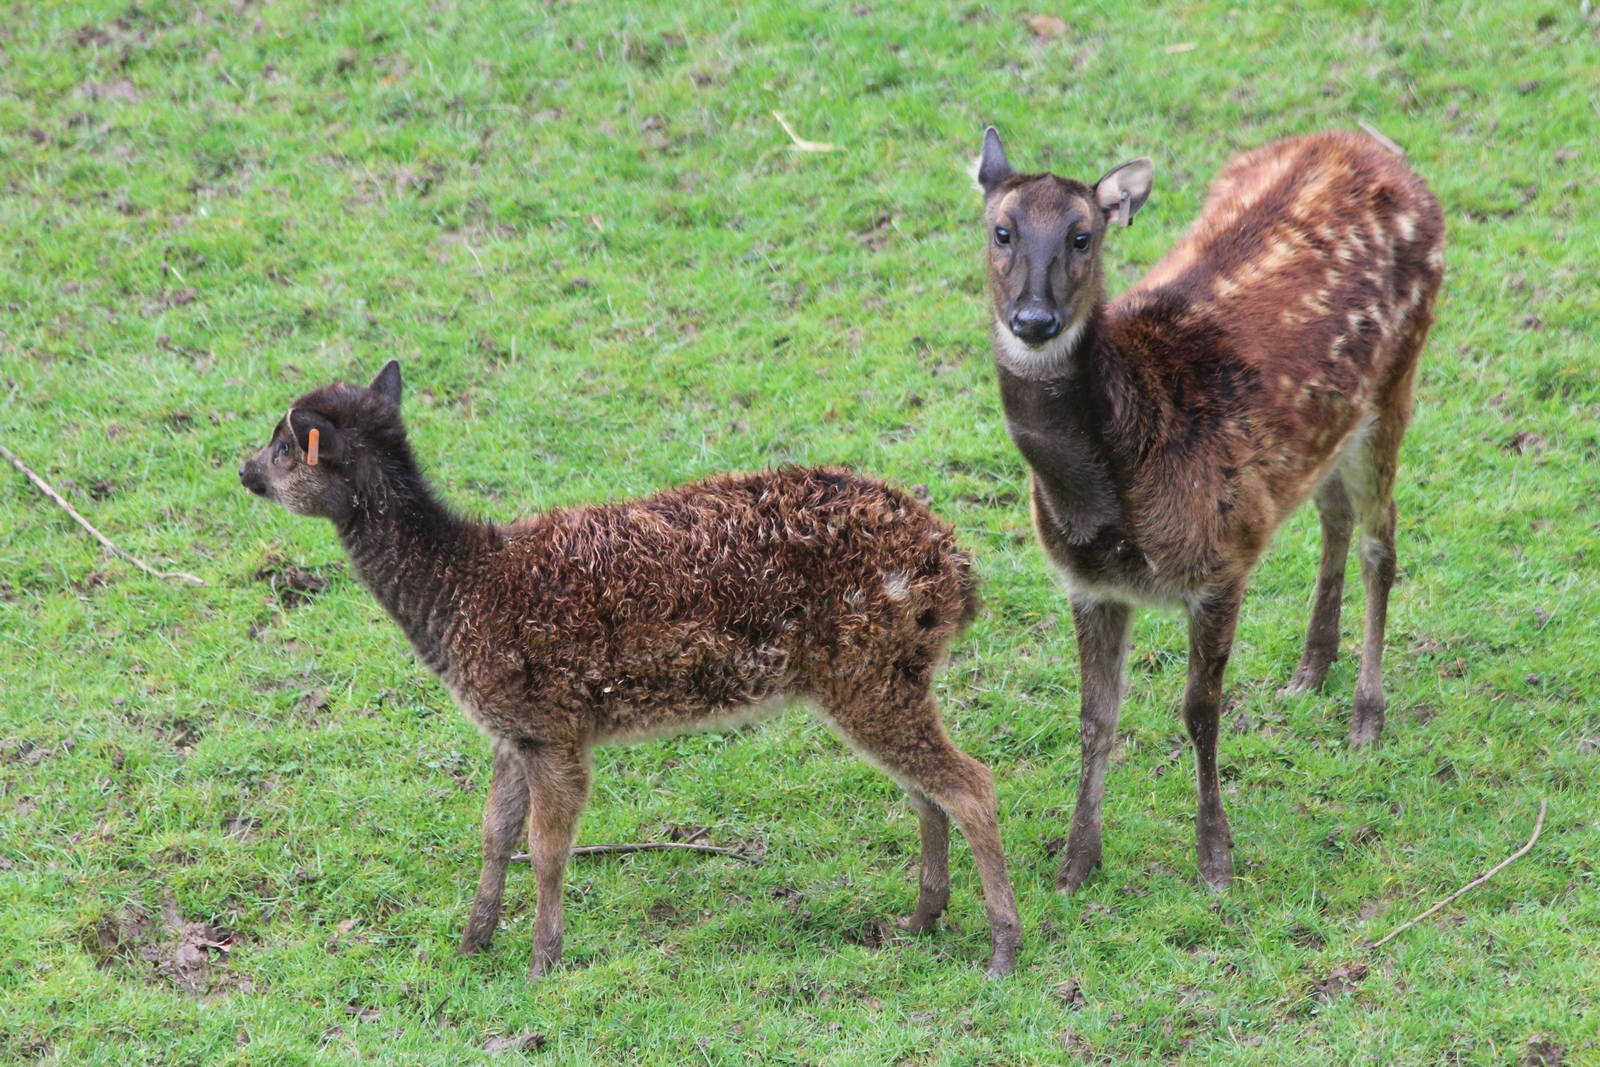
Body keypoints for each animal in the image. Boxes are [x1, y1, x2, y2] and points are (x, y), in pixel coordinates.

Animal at [238, 361, 1020, 977]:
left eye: (283, 446)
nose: (244, 469)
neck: (457, 591)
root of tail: (956, 570)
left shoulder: (555, 725)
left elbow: (549, 848)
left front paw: (542, 962)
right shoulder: (511, 728)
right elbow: (494, 833)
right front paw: (471, 944)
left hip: (870, 671)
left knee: (972, 784)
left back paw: (1002, 950)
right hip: (884, 676)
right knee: (925, 788)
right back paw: (921, 918)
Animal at [973, 128, 1444, 891]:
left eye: (1083, 236)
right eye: (1002, 230)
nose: (1034, 320)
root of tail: (1370, 146)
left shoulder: (1222, 559)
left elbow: (1200, 711)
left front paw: (1216, 860)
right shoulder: (1088, 584)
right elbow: (1094, 717)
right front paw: (1076, 864)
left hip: (1398, 373)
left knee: (1384, 541)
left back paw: (1366, 715)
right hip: (1323, 431)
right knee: (1334, 512)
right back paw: (1311, 669)